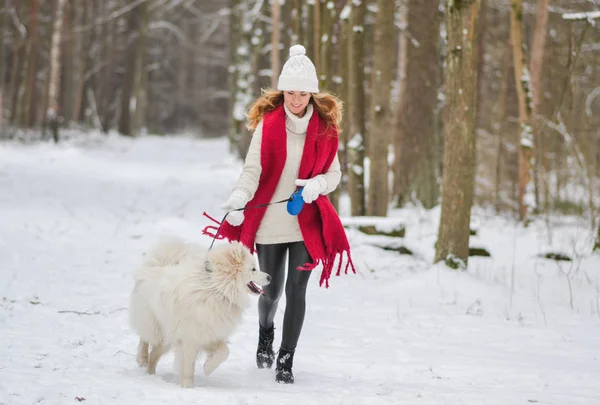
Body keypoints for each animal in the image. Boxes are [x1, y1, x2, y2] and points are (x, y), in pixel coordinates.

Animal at [128, 237, 270, 388]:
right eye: (253, 269)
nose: (270, 277)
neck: (217, 288)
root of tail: (156, 265)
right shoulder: (190, 337)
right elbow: (189, 365)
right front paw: (188, 386)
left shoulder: (209, 334)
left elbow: (225, 351)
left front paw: (208, 367)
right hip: (153, 323)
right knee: (145, 338)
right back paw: (142, 359)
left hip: (167, 336)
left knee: (154, 353)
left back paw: (150, 373)